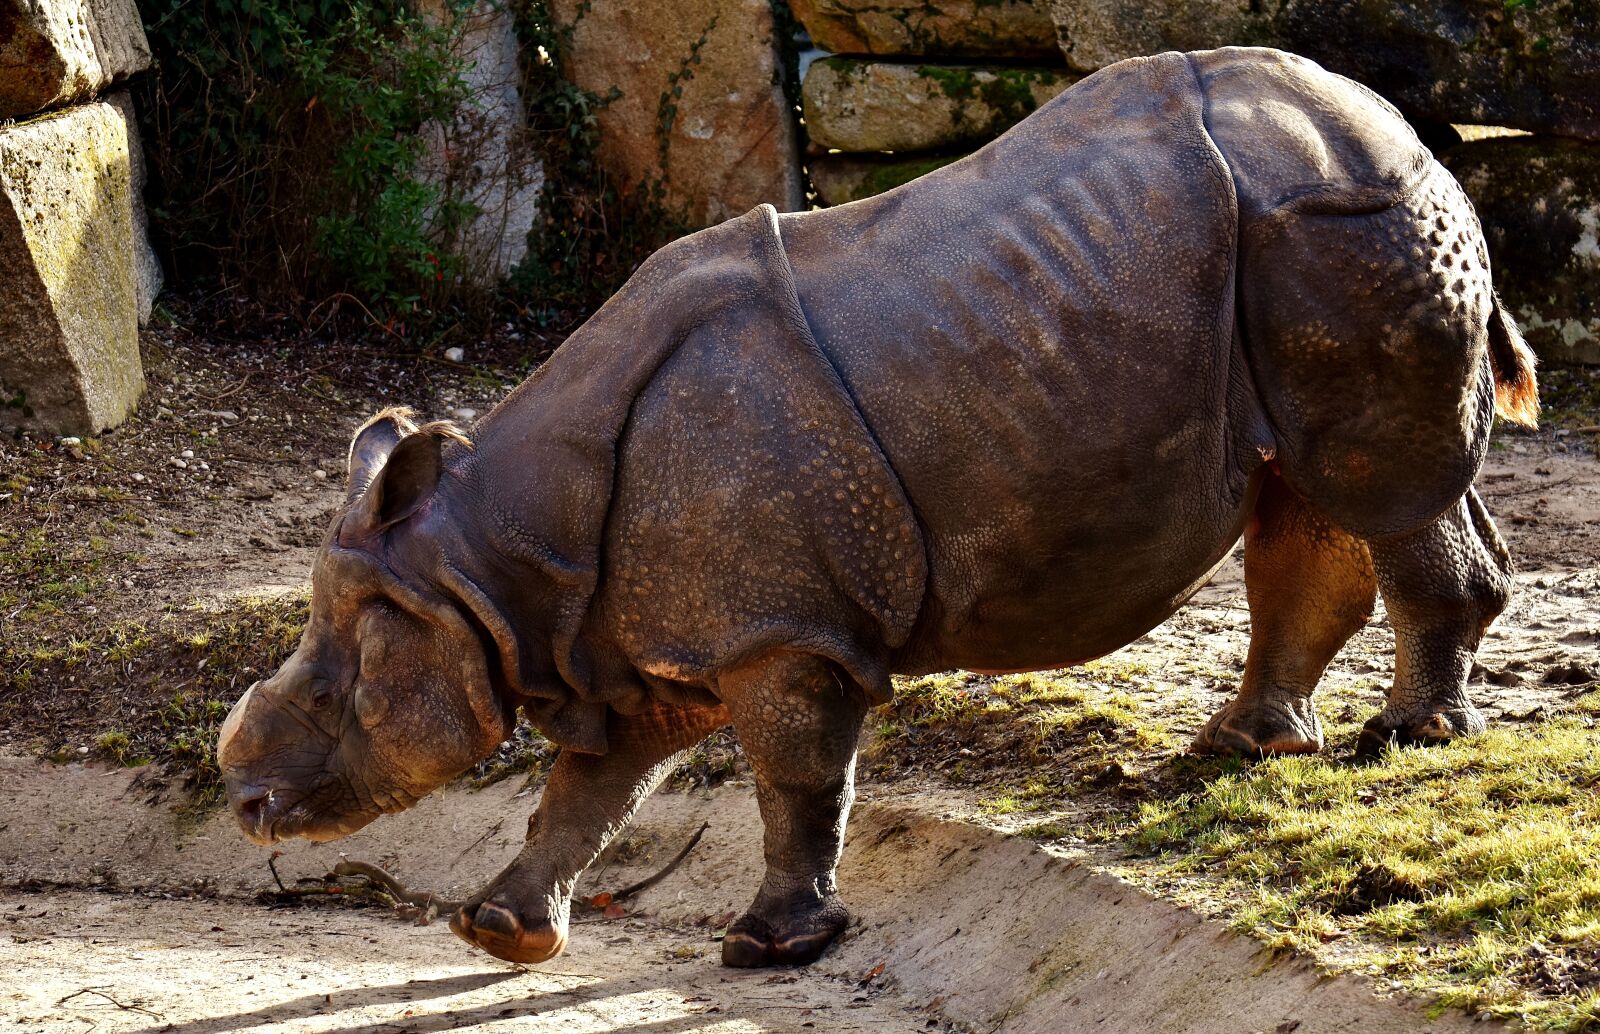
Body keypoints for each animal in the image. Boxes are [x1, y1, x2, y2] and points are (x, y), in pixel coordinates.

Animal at [217, 47, 1538, 969]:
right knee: (1303, 492)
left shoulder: (778, 630)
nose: (243, 806)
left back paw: (1406, 739)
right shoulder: (638, 638)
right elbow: (590, 788)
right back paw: (1244, 745)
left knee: (1373, 486)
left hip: (1341, 227)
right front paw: (497, 933)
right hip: (1290, 246)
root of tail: (1402, 127)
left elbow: (797, 777)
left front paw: (766, 946)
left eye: (332, 699)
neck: (487, 564)